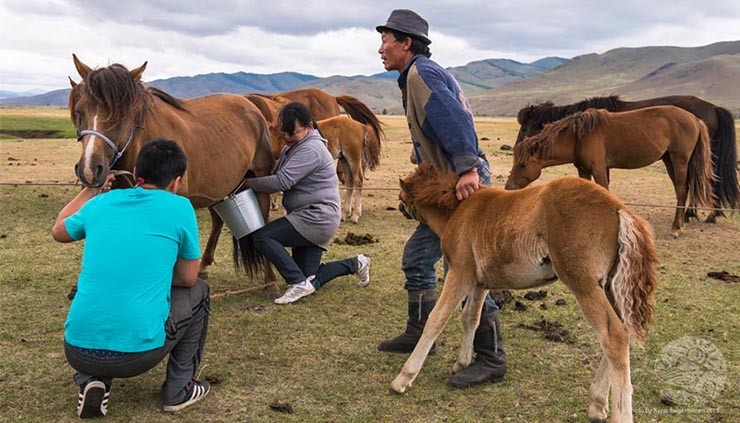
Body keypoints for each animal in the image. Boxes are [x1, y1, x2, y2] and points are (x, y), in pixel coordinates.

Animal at [69, 54, 278, 294]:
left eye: (121, 116)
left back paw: (270, 281)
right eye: (79, 112)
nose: (89, 169)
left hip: (259, 181)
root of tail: (251, 105)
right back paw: (203, 267)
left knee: (262, 222)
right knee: (217, 221)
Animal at [390, 164, 656, 423]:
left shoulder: (460, 273)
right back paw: (597, 404)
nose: (400, 207)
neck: (458, 210)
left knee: (613, 336)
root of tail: (618, 207)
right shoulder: (480, 283)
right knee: (622, 332)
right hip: (609, 286)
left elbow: (436, 319)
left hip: (583, 283)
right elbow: (471, 319)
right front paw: (462, 363)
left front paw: (403, 378)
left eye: (401, 194)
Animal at [506, 106, 712, 238]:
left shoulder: (599, 169)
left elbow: (604, 192)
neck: (578, 137)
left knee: (681, 190)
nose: (509, 187)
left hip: (679, 160)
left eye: (523, 164)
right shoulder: (583, 170)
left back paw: (676, 228)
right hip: (669, 160)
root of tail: (695, 119)